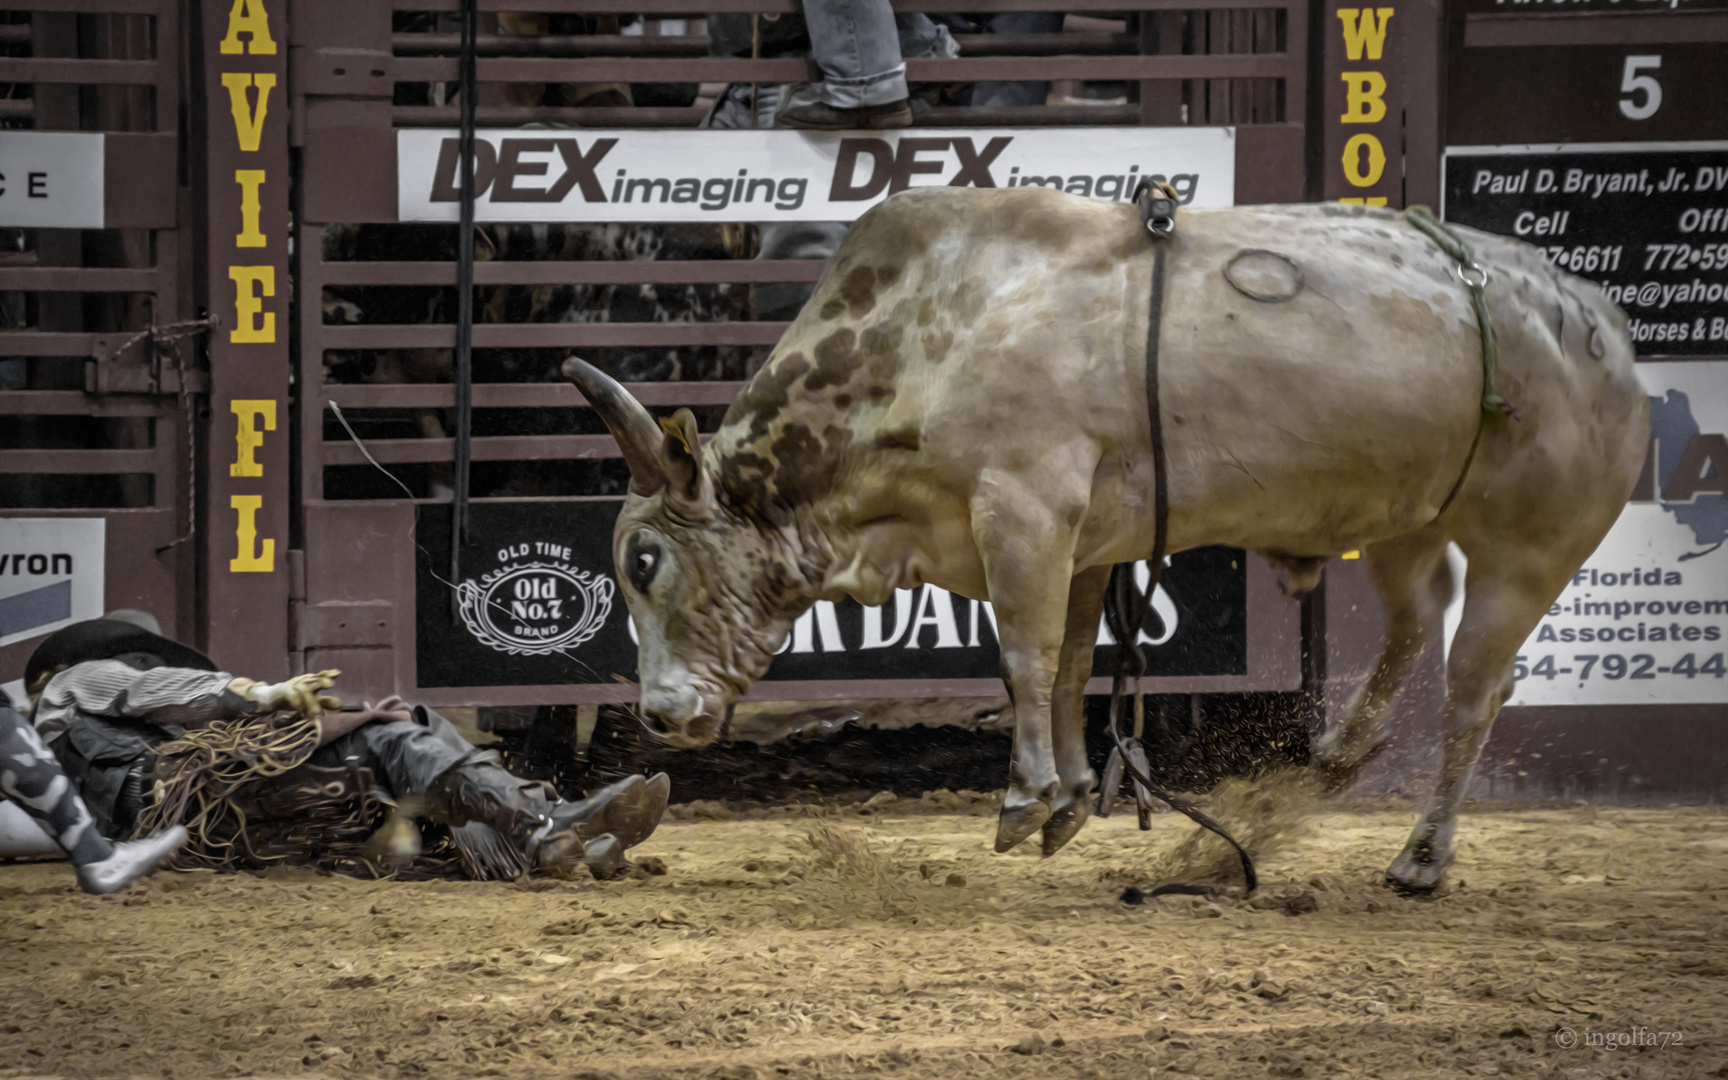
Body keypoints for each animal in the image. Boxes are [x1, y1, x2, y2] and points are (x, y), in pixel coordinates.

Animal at [563, 187, 1645, 891]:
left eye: (646, 561)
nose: (657, 714)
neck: (926, 333)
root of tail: (1605, 332)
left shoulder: (1026, 506)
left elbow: (1026, 657)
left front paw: (1025, 798)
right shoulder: (1081, 541)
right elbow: (1077, 662)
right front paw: (1078, 795)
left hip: (1528, 551)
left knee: (1474, 689)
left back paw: (1420, 855)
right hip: (1402, 520)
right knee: (1419, 615)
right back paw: (1340, 749)